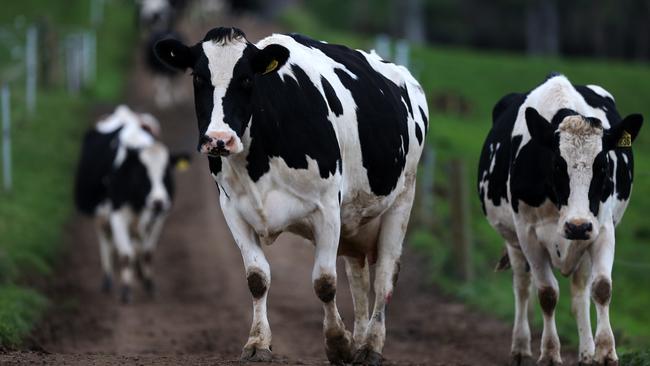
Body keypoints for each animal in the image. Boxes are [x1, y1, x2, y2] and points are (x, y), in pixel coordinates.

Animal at [75, 105, 190, 304]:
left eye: (167, 172)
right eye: (141, 173)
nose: (159, 201)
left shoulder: (159, 216)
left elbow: (147, 252)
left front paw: (149, 283)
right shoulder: (117, 213)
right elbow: (126, 254)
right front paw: (126, 290)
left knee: (137, 244)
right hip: (102, 215)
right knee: (107, 240)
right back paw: (108, 280)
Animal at [154, 27, 428, 364]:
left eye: (247, 79)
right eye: (197, 78)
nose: (219, 139)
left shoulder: (327, 208)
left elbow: (324, 282)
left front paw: (337, 343)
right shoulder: (232, 208)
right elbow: (257, 278)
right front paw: (258, 342)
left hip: (402, 198)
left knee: (385, 276)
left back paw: (370, 346)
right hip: (356, 219)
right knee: (359, 279)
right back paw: (361, 339)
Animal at [476, 74, 644, 366]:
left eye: (602, 166)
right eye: (557, 164)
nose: (577, 226)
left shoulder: (601, 229)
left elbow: (602, 288)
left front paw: (605, 352)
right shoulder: (528, 235)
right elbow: (547, 294)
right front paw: (550, 353)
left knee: (580, 293)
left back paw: (586, 351)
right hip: (513, 241)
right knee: (522, 285)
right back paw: (521, 347)